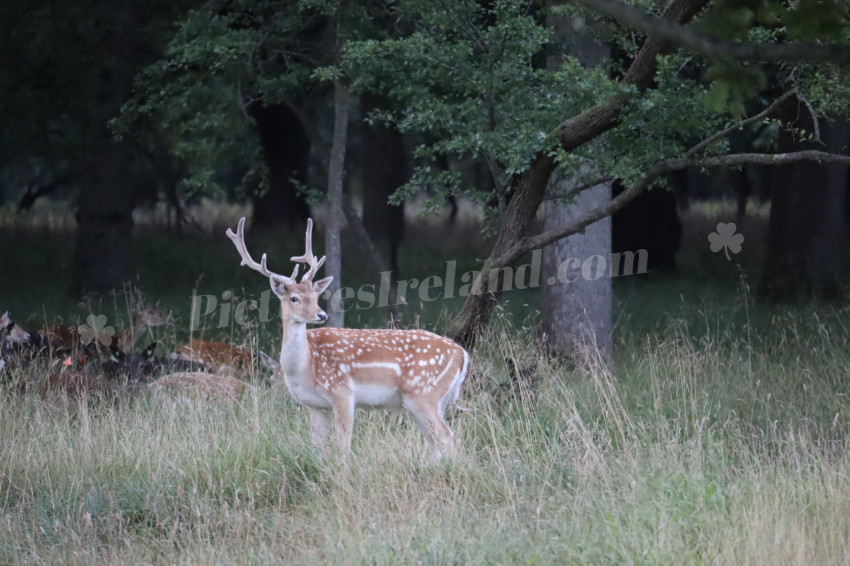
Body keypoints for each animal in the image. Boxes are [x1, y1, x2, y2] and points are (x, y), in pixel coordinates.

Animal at [226, 217, 469, 462]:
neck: (305, 368)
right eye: (294, 298)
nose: (321, 314)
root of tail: (462, 354)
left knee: (446, 436)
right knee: (436, 441)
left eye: (315, 295)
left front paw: (342, 471)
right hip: (426, 401)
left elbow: (343, 446)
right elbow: (316, 448)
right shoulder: (315, 405)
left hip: (422, 393)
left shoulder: (342, 393)